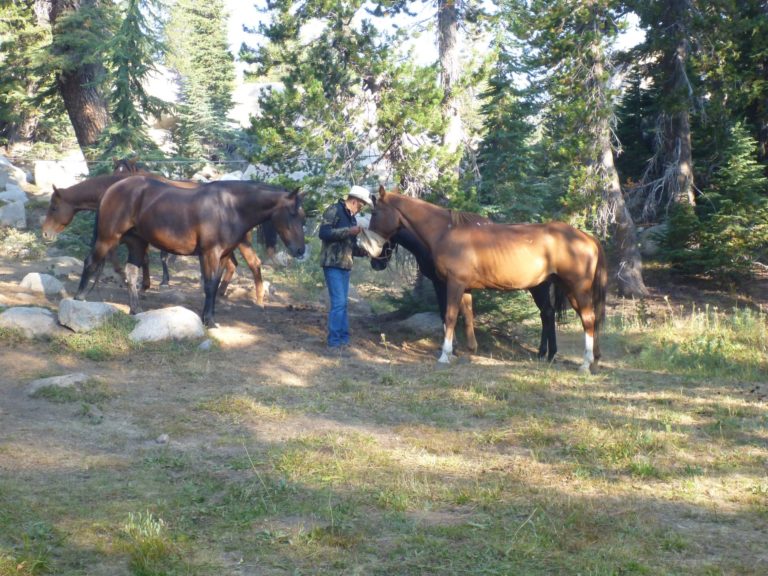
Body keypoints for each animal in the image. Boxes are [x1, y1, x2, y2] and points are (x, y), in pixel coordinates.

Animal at [75, 176, 306, 326]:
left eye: (303, 217)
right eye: (292, 213)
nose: (300, 250)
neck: (230, 207)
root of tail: (111, 189)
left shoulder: (223, 256)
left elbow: (214, 284)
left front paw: (210, 317)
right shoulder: (210, 253)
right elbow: (209, 286)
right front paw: (209, 321)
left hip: (137, 244)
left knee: (131, 273)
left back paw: (136, 310)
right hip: (107, 239)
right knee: (90, 263)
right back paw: (79, 299)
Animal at [368, 228, 568, 360]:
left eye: (382, 238)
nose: (376, 264)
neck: (433, 241)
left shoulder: (443, 283)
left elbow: (448, 314)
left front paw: (452, 348)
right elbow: (458, 313)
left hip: (540, 287)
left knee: (547, 313)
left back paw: (549, 354)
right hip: (537, 287)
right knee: (546, 314)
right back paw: (544, 353)